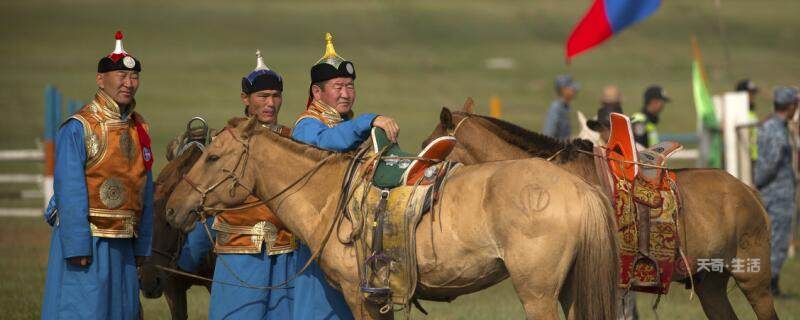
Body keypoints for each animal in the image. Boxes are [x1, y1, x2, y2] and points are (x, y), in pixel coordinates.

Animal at [166, 117, 620, 320]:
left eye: (213, 156)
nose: (172, 207)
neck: (327, 195)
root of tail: (578, 188)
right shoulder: (378, 297)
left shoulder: (358, 294)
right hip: (570, 289)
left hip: (538, 294)